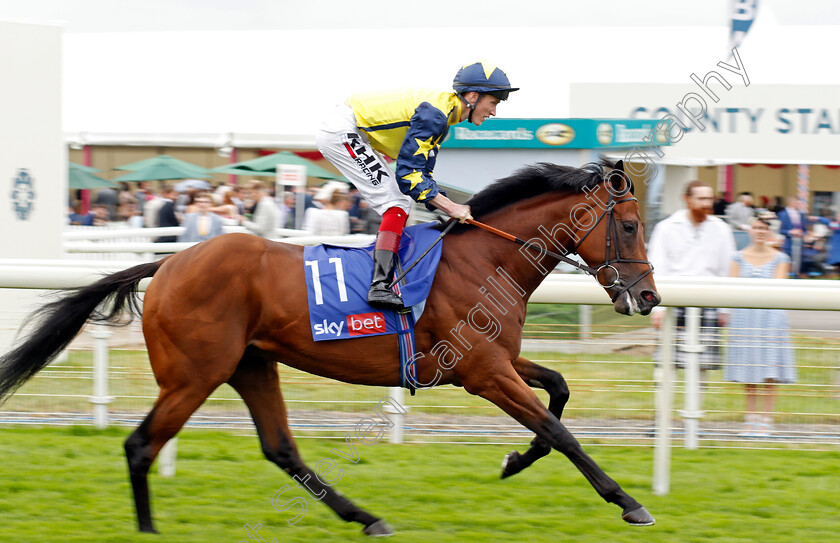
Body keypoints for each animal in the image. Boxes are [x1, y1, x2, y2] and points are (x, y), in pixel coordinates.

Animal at [0, 159, 660, 536]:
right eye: (629, 225)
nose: (650, 296)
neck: (486, 259)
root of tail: (168, 263)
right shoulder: (482, 371)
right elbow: (560, 431)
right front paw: (627, 501)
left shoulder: (493, 360)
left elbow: (559, 392)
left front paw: (513, 460)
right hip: (194, 373)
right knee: (141, 445)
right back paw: (149, 529)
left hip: (250, 365)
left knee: (280, 448)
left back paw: (366, 517)